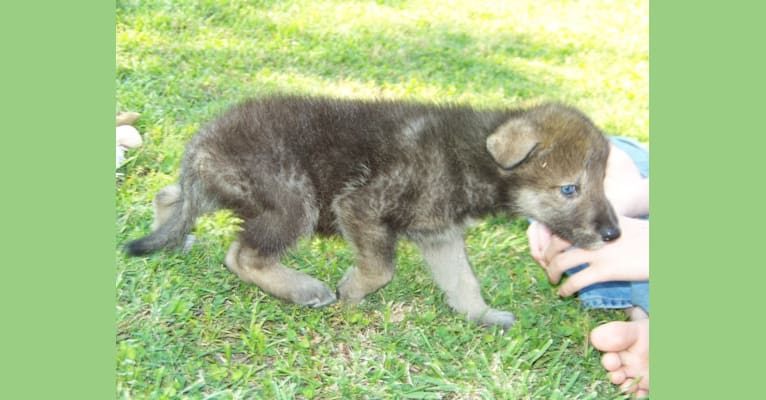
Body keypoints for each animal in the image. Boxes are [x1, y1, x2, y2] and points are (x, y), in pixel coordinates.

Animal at [124, 95, 616, 330]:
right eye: (569, 189)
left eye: (603, 181)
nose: (613, 235)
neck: (474, 157)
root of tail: (201, 145)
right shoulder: (361, 206)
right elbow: (381, 269)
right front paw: (351, 290)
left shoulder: (440, 235)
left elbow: (464, 283)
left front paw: (482, 316)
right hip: (291, 201)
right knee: (243, 256)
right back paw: (304, 289)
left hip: (222, 190)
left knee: (168, 196)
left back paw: (174, 235)